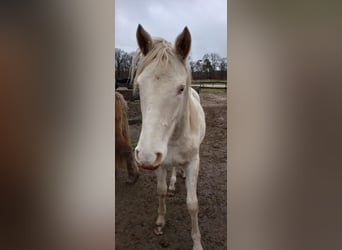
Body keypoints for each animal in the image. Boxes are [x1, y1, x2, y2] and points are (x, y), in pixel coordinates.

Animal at [131, 23, 206, 250]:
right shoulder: (161, 163)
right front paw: (160, 222)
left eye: (181, 88)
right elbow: (161, 191)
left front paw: (197, 242)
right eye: (139, 86)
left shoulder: (193, 162)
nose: (145, 156)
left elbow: (192, 204)